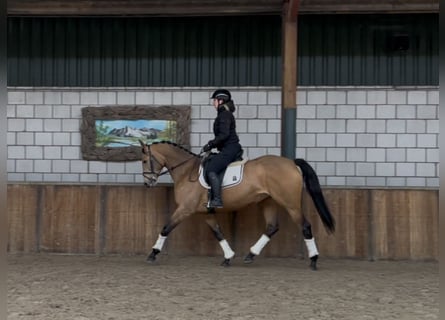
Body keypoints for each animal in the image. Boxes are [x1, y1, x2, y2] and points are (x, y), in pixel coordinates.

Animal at [139, 141, 332, 268]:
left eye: (144, 160)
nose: (148, 183)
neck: (187, 171)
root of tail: (291, 162)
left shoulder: (185, 209)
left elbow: (166, 228)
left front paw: (152, 253)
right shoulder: (205, 212)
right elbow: (218, 232)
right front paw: (228, 256)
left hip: (290, 204)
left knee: (305, 226)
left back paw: (314, 260)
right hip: (267, 201)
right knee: (272, 227)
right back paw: (250, 255)